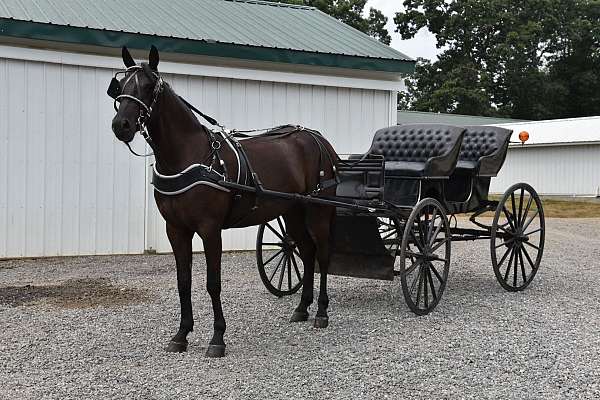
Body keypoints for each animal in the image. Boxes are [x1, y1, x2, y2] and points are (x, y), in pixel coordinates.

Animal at [109, 45, 338, 358]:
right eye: (120, 85)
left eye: (147, 86)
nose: (121, 125)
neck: (189, 156)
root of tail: (317, 138)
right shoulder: (176, 229)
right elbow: (183, 281)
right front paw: (181, 334)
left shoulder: (209, 229)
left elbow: (213, 283)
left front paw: (217, 338)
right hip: (292, 211)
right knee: (307, 250)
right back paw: (302, 308)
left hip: (318, 210)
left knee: (323, 254)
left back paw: (322, 313)